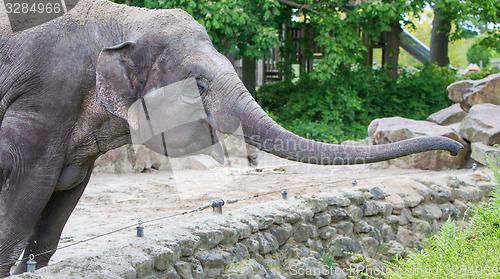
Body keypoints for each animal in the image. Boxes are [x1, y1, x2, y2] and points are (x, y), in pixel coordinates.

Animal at [0, 0, 464, 276]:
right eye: (199, 84)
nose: (459, 148)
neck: (125, 18)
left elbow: (62, 200)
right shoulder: (46, 97)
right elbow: (26, 188)